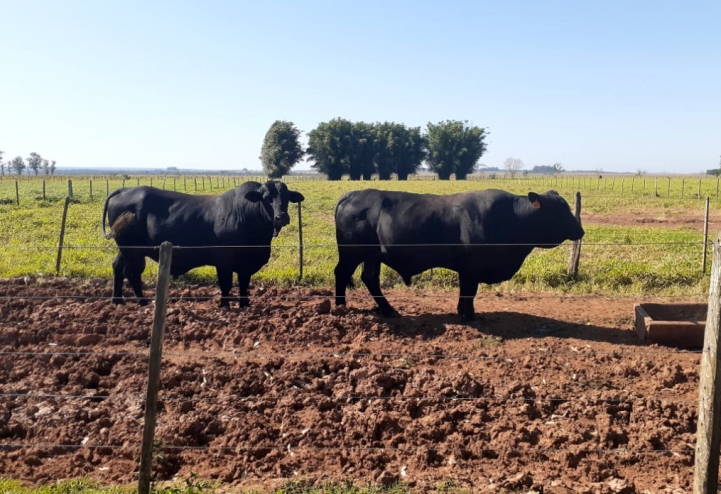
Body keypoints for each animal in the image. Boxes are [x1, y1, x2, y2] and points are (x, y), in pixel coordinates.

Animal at [102, 179, 304, 306]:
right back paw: (142, 302)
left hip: (125, 249)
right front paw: (225, 305)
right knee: (132, 273)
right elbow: (226, 284)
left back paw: (117, 300)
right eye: (267, 198)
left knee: (117, 267)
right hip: (133, 251)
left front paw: (245, 304)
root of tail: (125, 189)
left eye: (286, 198)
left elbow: (244, 283)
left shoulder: (245, 264)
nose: (281, 217)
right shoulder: (224, 261)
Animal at [334, 188, 584, 320]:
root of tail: (352, 194)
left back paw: (389, 310)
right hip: (351, 253)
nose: (580, 230)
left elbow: (467, 293)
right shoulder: (471, 267)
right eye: (557, 211)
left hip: (372, 256)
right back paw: (340, 307)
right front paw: (468, 316)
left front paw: (464, 313)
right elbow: (468, 293)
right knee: (341, 274)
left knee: (370, 279)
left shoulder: (469, 269)